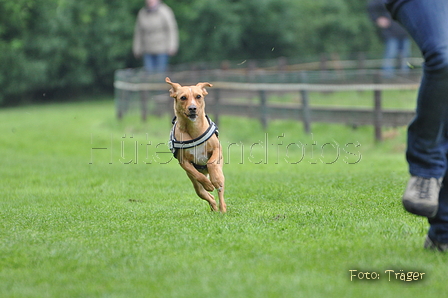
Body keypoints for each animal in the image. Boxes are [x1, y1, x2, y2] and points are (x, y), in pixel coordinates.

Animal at [165, 77, 226, 212]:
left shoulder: (217, 149)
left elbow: (211, 162)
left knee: (220, 191)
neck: (194, 130)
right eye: (183, 97)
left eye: (198, 96)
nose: (192, 108)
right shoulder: (184, 162)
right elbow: (197, 174)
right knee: (206, 195)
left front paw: (215, 180)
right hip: (196, 186)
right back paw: (214, 207)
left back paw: (222, 208)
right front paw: (208, 184)